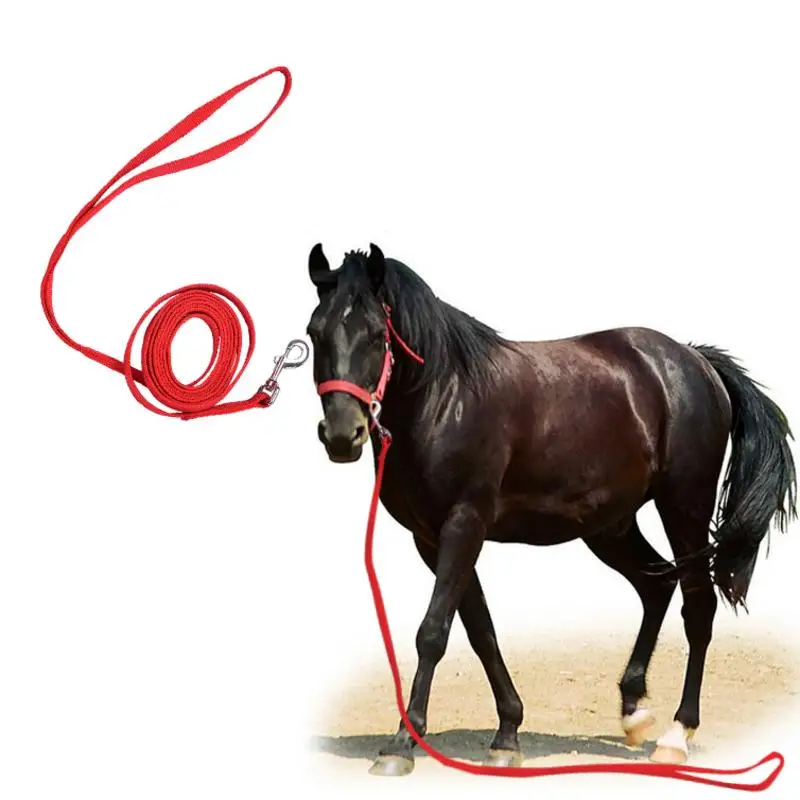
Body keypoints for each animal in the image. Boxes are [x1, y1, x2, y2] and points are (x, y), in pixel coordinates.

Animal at [304, 243, 796, 776]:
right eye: (314, 332)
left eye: (377, 334)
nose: (342, 434)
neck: (445, 397)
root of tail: (695, 361)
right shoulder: (432, 539)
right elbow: (480, 630)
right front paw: (506, 734)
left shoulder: (463, 525)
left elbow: (433, 631)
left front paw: (400, 745)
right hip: (609, 526)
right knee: (656, 585)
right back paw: (633, 710)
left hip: (684, 506)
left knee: (697, 604)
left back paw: (676, 735)